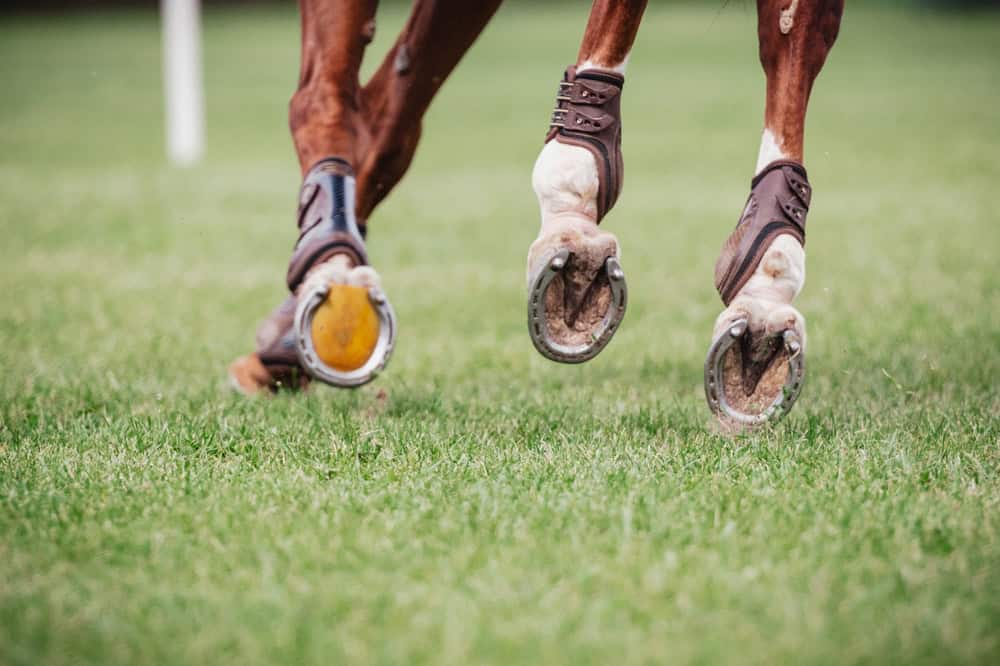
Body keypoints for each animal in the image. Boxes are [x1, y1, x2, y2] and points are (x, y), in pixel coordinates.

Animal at [228, 0, 845, 432]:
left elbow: (796, 28)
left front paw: (766, 287)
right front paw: (574, 204)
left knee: (386, 110)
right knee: (336, 98)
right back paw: (327, 271)